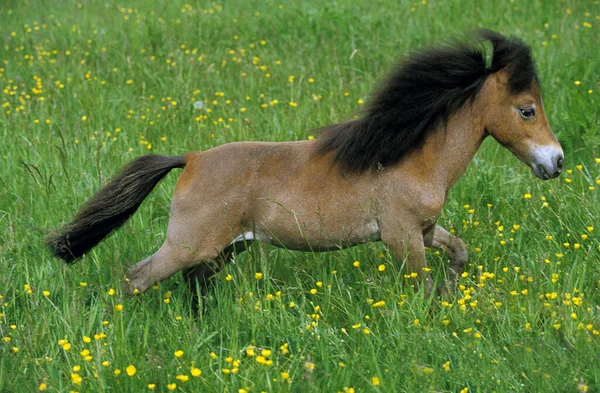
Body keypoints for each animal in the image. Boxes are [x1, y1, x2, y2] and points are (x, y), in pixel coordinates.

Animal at [47, 30, 564, 298]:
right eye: (527, 110)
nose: (556, 162)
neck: (412, 159)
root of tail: (190, 159)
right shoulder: (400, 236)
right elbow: (422, 282)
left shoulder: (424, 228)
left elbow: (459, 252)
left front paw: (454, 290)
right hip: (187, 246)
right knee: (136, 278)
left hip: (222, 250)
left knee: (193, 285)